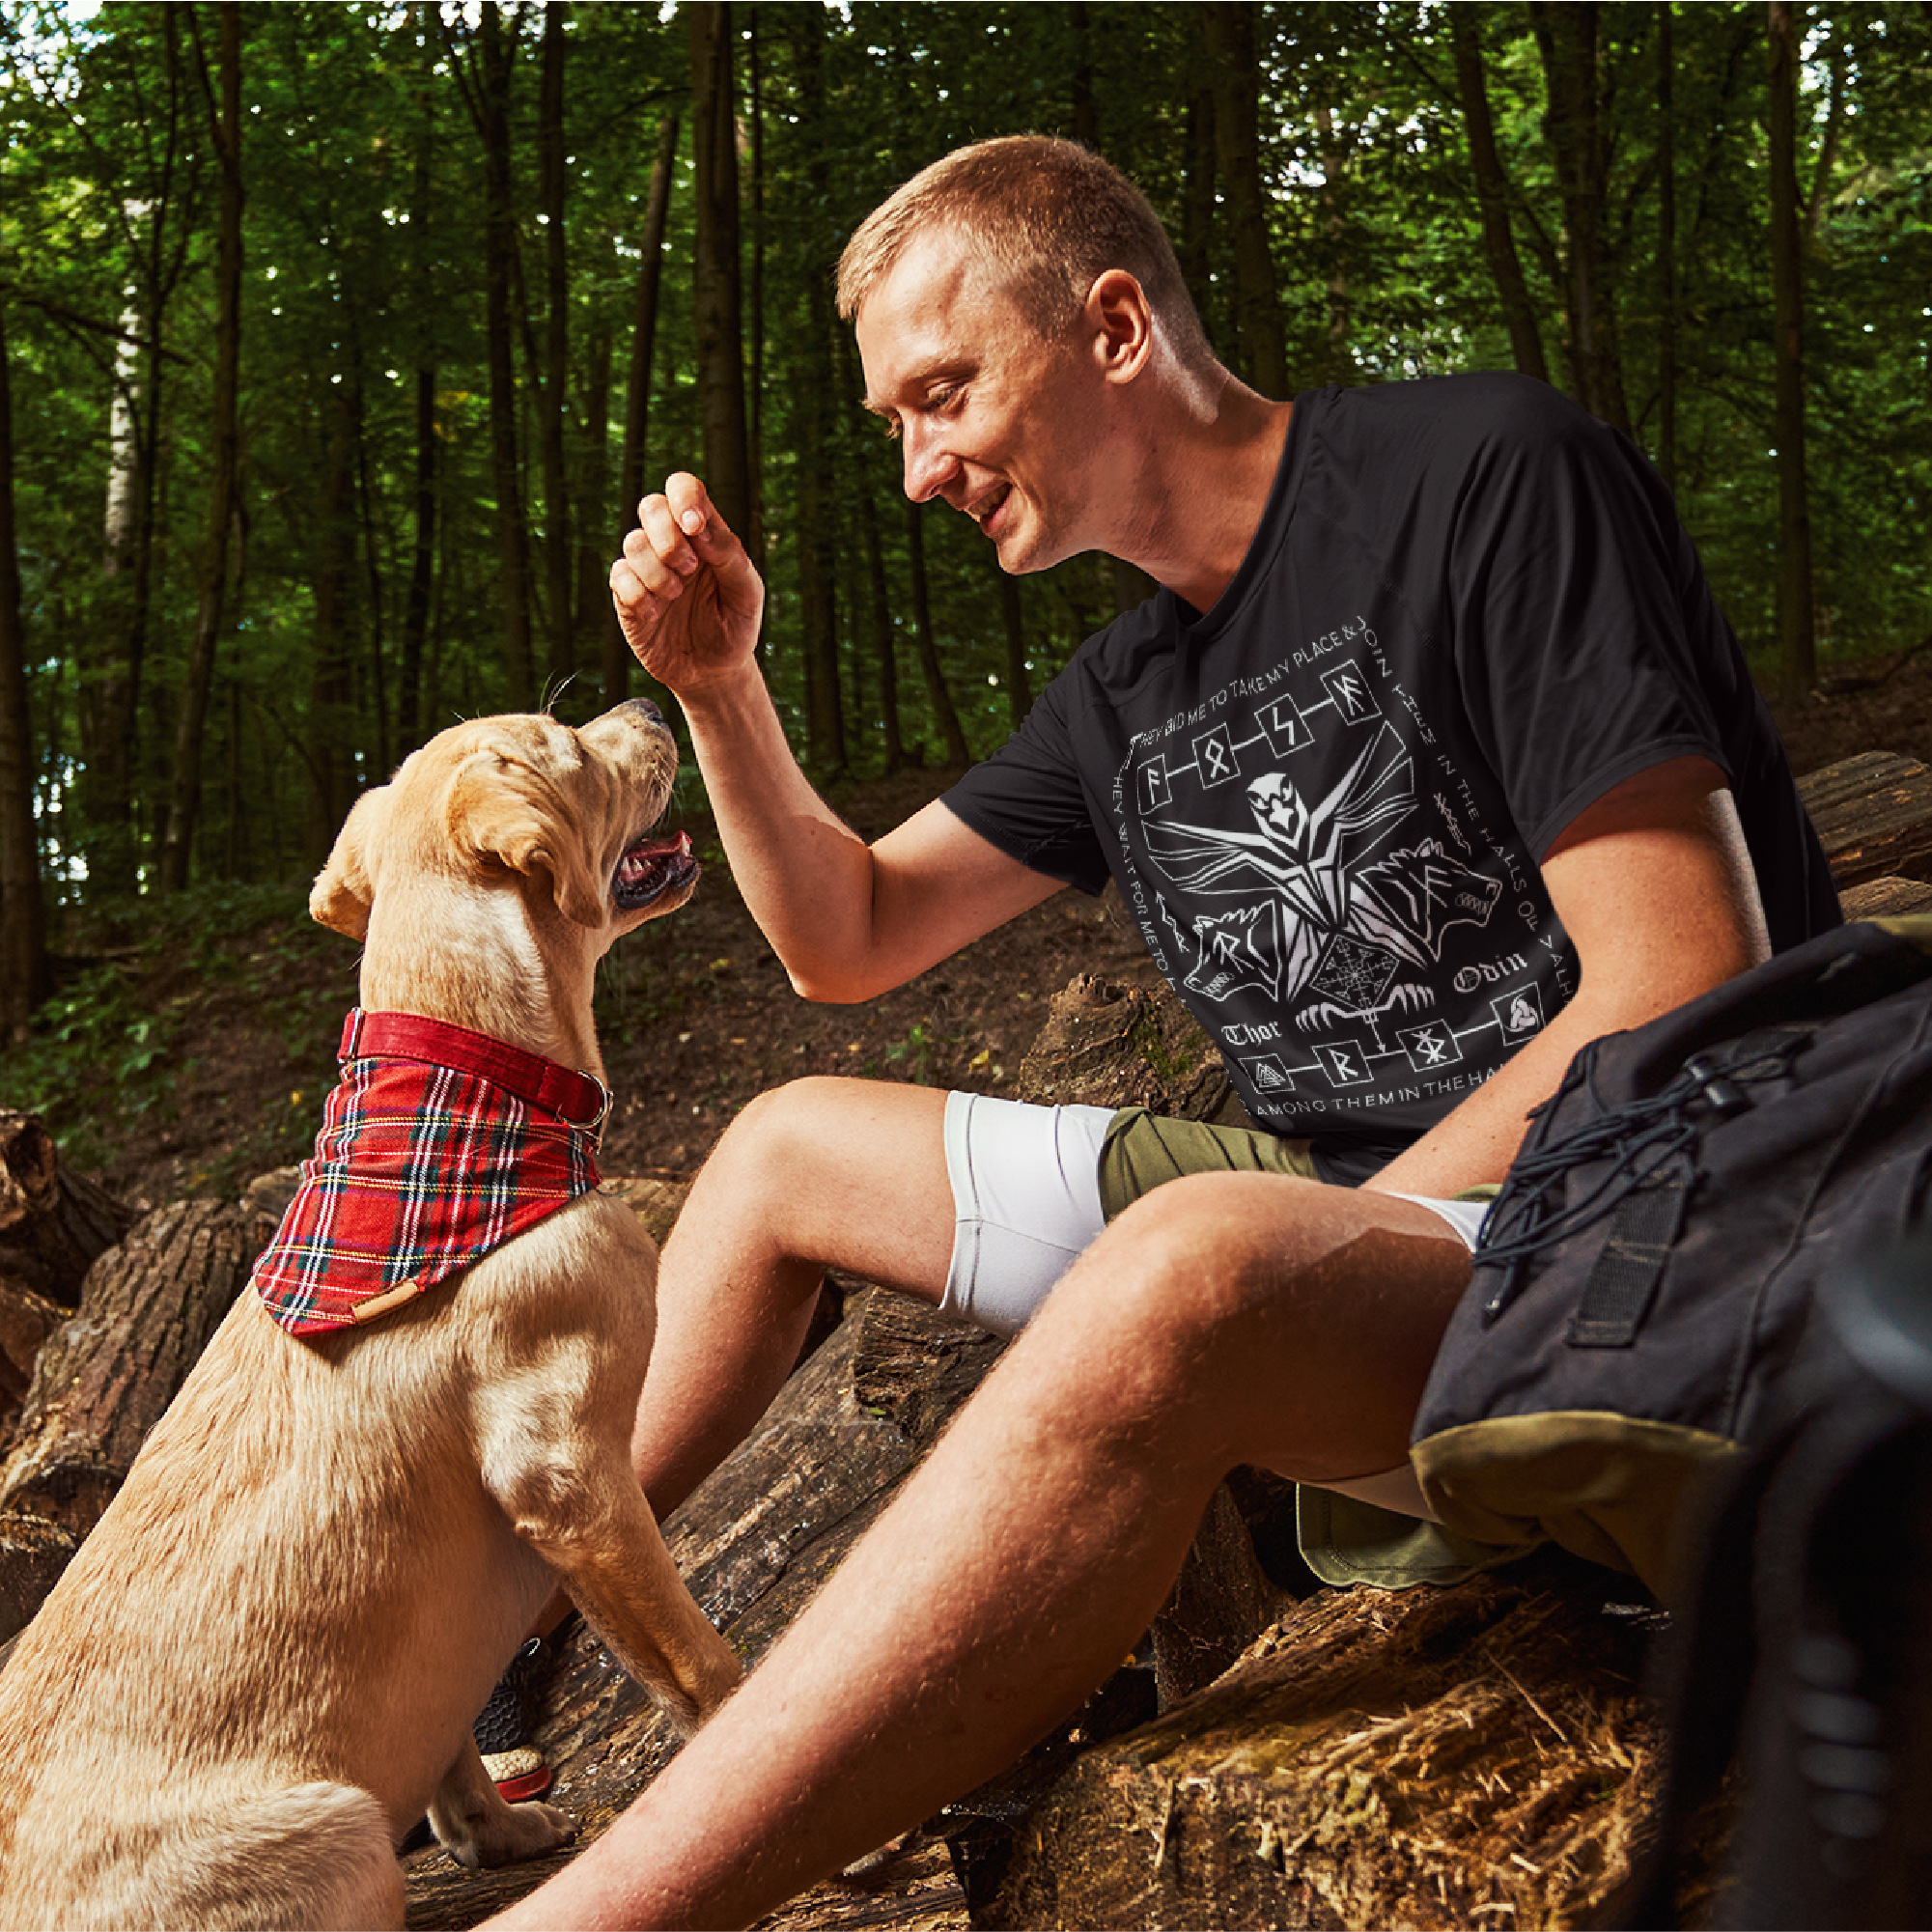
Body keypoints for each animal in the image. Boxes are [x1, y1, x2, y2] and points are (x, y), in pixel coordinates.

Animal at [0, 699, 738, 1931]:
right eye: (567, 743)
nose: (646, 704)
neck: (475, 1088)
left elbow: (453, 1765)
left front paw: (499, 1831)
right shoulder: (569, 1473)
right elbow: (697, 1664)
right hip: (337, 1825)